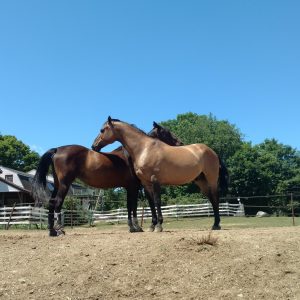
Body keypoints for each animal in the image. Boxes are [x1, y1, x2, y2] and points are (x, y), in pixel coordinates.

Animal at [92, 117, 229, 232]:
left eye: (102, 130)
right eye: (167, 132)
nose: (94, 146)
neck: (144, 149)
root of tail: (212, 152)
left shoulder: (155, 180)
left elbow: (157, 201)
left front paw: (159, 225)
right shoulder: (145, 183)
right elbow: (151, 203)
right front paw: (152, 225)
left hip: (211, 179)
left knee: (215, 198)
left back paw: (216, 225)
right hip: (201, 182)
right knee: (212, 199)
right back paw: (215, 224)